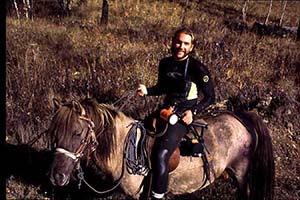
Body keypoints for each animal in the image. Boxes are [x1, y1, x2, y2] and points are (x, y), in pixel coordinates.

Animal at [48, 97, 274, 199]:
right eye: (54, 134)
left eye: (78, 133)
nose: (56, 177)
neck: (122, 149)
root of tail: (241, 117)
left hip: (241, 173)